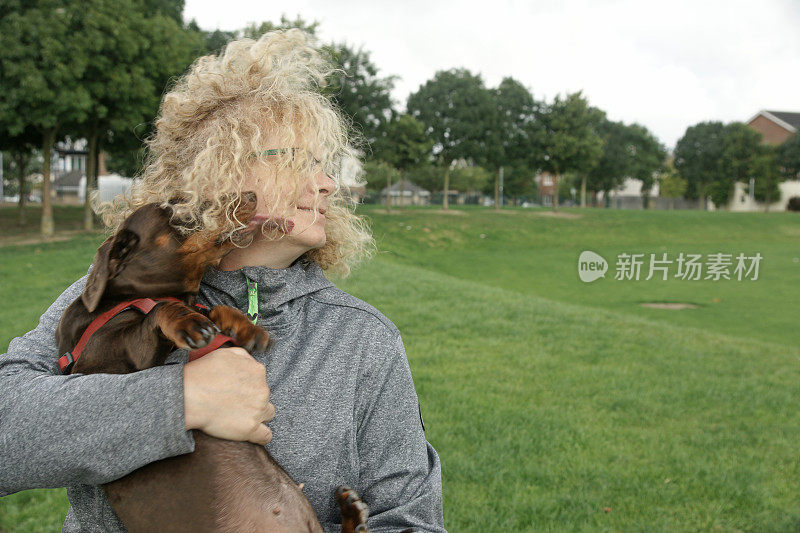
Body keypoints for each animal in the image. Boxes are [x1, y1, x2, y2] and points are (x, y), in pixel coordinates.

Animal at [54, 192, 370, 532]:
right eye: (179, 208)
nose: (250, 195)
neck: (124, 298)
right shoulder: (117, 358)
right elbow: (162, 309)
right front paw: (188, 322)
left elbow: (214, 309)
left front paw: (246, 329)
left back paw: (352, 512)